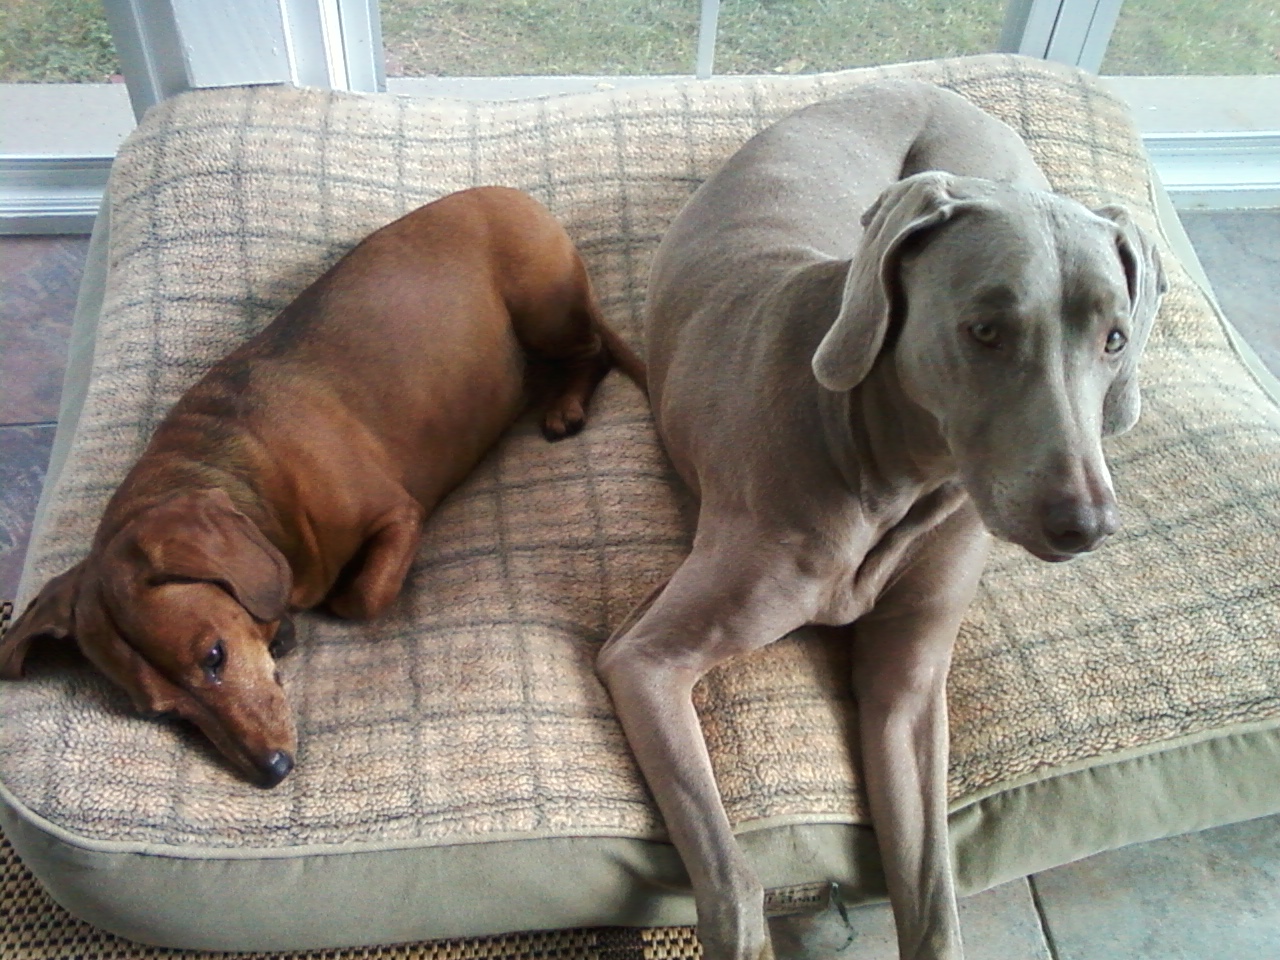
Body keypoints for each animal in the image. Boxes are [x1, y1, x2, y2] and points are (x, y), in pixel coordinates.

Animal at [2, 186, 645, 789]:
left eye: (214, 656)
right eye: (163, 714)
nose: (271, 771)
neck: (241, 484)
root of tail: (514, 195)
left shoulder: (398, 515)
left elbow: (362, 598)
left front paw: (335, 600)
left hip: (546, 311)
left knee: (592, 356)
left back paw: (564, 403)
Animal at [596, 80, 1165, 960]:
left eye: (1113, 338)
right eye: (985, 329)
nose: (1085, 523)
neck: (892, 479)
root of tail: (923, 85)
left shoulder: (908, 691)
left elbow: (932, 893)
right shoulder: (643, 661)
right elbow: (732, 874)